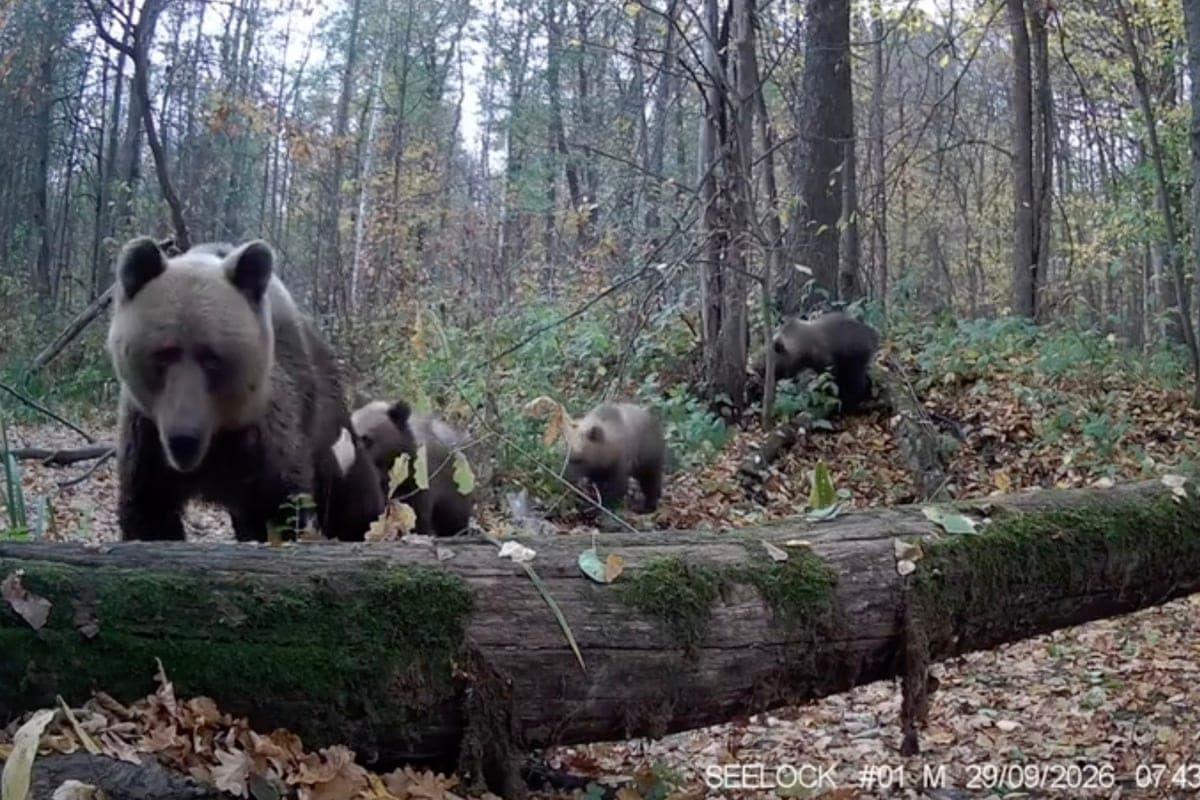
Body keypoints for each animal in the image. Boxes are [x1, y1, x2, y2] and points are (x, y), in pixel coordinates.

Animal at [107, 236, 380, 542]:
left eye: (212, 357)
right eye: (164, 353)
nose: (183, 439)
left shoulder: (267, 438)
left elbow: (277, 509)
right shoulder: (148, 434)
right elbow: (149, 509)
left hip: (331, 434)